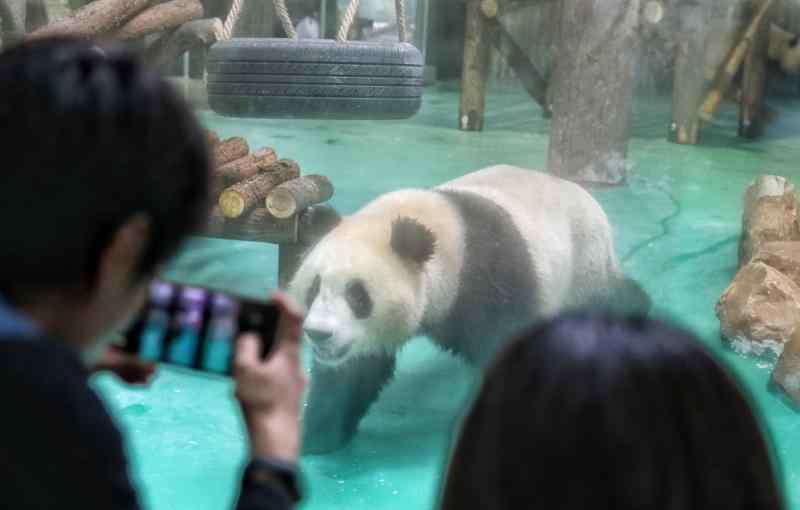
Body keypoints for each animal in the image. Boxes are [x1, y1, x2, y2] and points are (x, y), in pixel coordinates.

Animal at [290, 165, 648, 452]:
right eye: (313, 288)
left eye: (357, 295)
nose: (318, 334)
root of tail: (585, 195)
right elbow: (354, 372)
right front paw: (319, 435)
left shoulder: (492, 278)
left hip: (584, 262)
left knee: (609, 296)